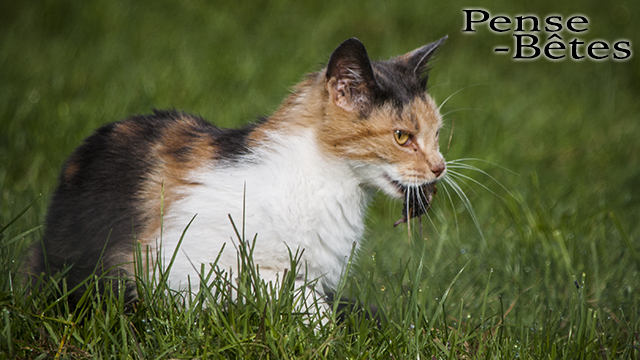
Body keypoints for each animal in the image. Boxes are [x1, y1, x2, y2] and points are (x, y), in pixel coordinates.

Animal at [30, 36, 448, 310]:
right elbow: (283, 286)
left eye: (437, 134)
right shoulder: (176, 263)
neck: (325, 182)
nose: (440, 168)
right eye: (402, 137)